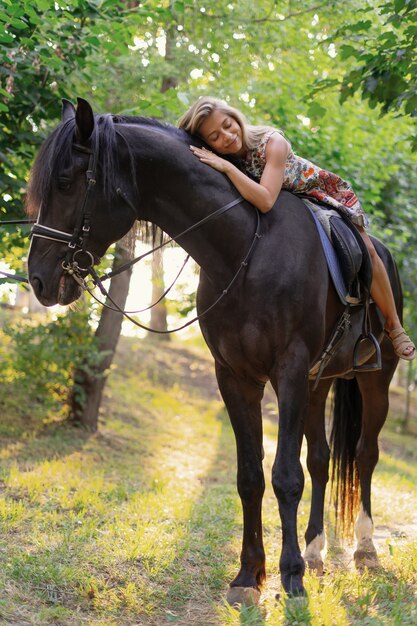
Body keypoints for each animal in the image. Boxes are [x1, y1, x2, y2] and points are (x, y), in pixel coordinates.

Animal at [26, 98, 400, 600]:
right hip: (319, 383)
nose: (39, 279)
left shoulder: (288, 371)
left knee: (364, 455)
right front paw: (249, 574)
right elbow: (250, 477)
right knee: (322, 460)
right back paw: (316, 550)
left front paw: (290, 576)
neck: (246, 247)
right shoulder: (235, 376)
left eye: (65, 183)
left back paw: (364, 550)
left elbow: (285, 477)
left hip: (374, 378)